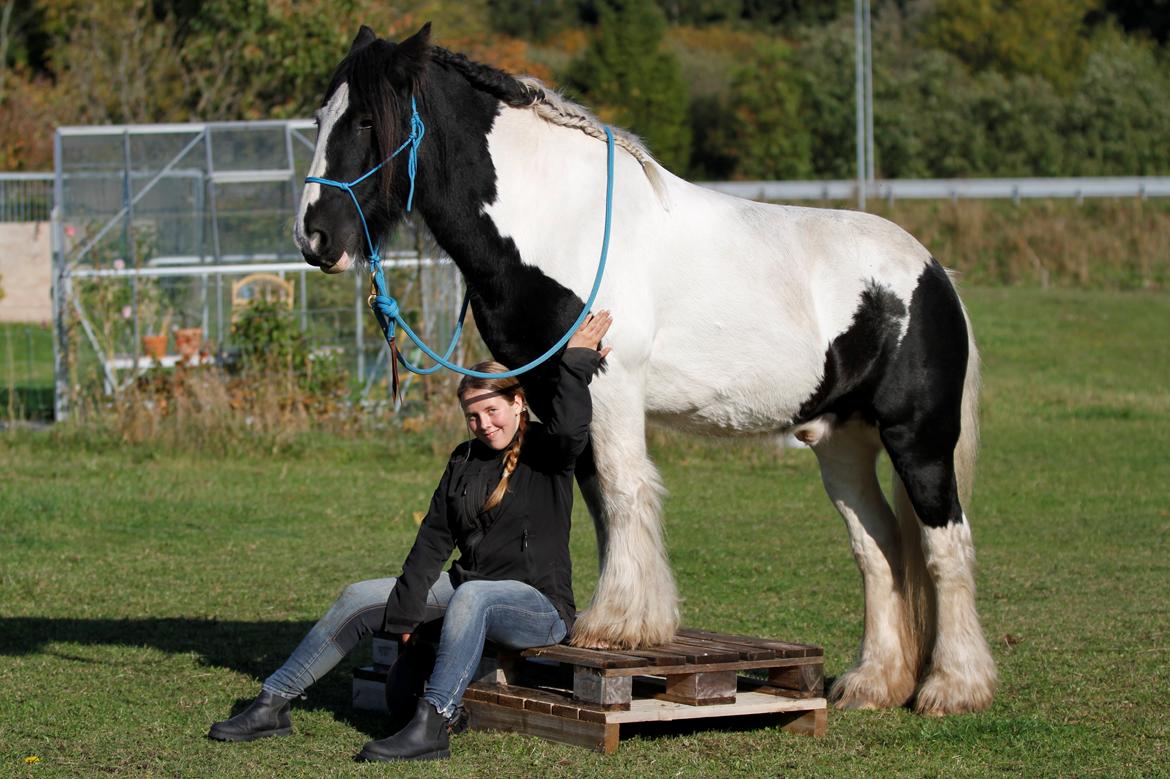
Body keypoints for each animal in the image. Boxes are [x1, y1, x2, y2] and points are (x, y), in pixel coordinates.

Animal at [294, 25, 996, 715]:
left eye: (365, 120)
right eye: (321, 118)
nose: (314, 238)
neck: (561, 220)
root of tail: (934, 271)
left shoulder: (609, 386)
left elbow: (624, 489)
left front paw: (619, 626)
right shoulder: (554, 390)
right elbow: (597, 499)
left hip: (918, 441)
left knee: (945, 547)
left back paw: (953, 688)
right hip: (842, 443)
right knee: (879, 552)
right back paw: (873, 685)